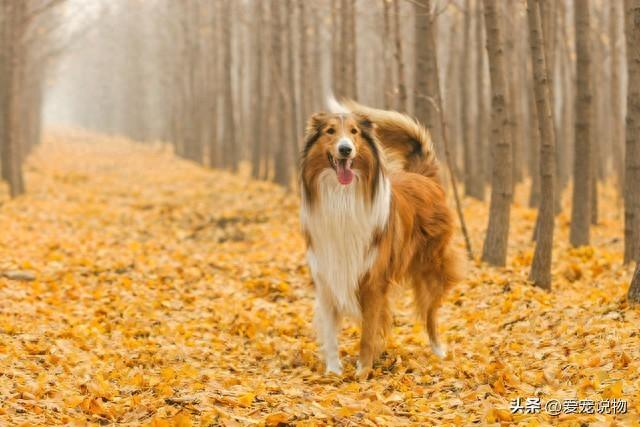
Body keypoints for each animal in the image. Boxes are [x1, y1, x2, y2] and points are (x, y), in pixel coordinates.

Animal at [300, 98, 460, 380]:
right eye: (330, 131)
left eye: (354, 132)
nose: (345, 150)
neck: (342, 198)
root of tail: (423, 177)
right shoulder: (327, 275)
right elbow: (330, 331)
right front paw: (333, 370)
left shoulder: (373, 281)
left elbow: (367, 332)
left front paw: (363, 372)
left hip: (431, 270)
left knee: (430, 314)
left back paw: (438, 351)